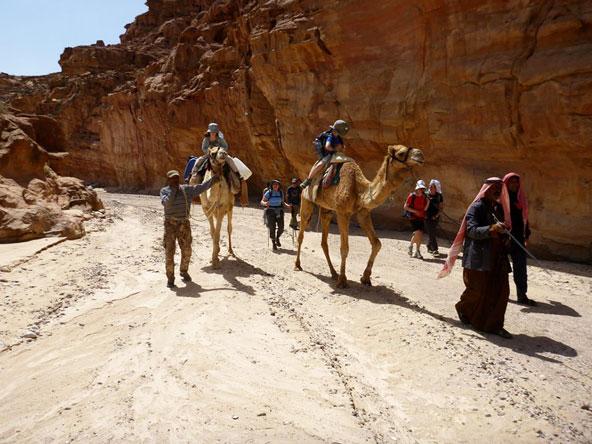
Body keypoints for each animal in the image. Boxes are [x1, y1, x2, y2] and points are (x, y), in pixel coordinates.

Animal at [295, 144, 424, 288]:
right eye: (401, 153)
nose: (420, 154)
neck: (359, 189)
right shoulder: (342, 212)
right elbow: (344, 248)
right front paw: (342, 280)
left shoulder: (363, 213)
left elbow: (377, 243)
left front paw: (365, 278)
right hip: (306, 199)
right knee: (301, 234)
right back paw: (298, 265)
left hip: (326, 209)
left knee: (324, 240)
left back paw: (333, 273)